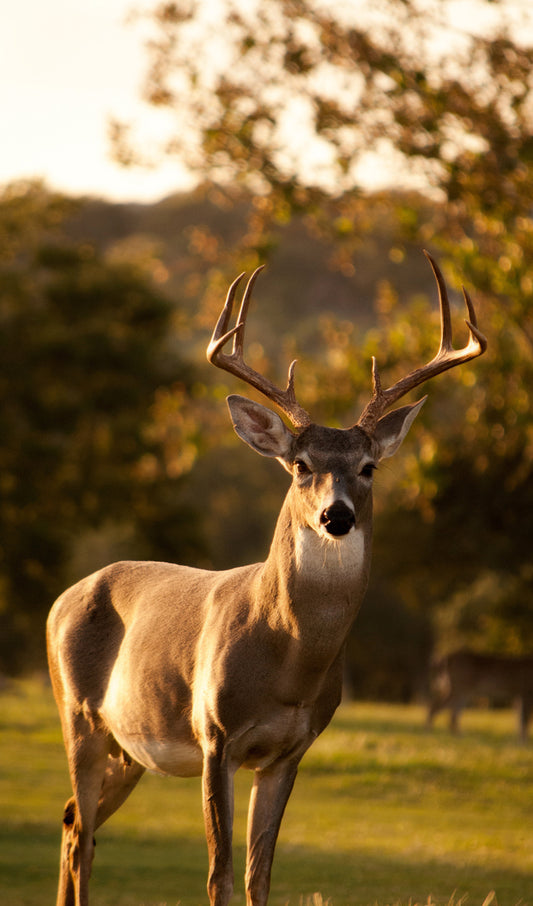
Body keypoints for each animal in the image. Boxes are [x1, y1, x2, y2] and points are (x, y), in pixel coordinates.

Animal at [46, 251, 486, 904]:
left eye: (369, 467)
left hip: (129, 749)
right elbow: (220, 874)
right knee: (80, 831)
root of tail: (62, 600)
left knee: (76, 822)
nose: (336, 515)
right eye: (300, 465)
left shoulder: (289, 752)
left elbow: (260, 875)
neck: (288, 661)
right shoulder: (215, 736)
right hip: (78, 715)